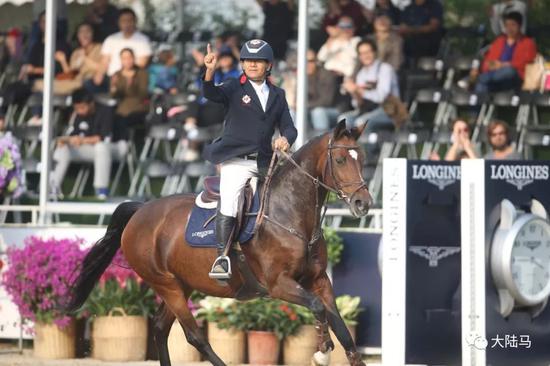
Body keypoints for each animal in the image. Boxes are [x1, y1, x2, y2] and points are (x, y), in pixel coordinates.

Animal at [67, 121, 374, 366]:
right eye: (341, 160)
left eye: (363, 159)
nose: (363, 203)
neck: (290, 213)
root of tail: (141, 210)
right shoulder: (280, 285)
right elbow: (318, 308)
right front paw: (321, 351)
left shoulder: (320, 280)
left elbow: (342, 329)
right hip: (166, 285)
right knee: (193, 336)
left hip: (181, 284)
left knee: (160, 328)